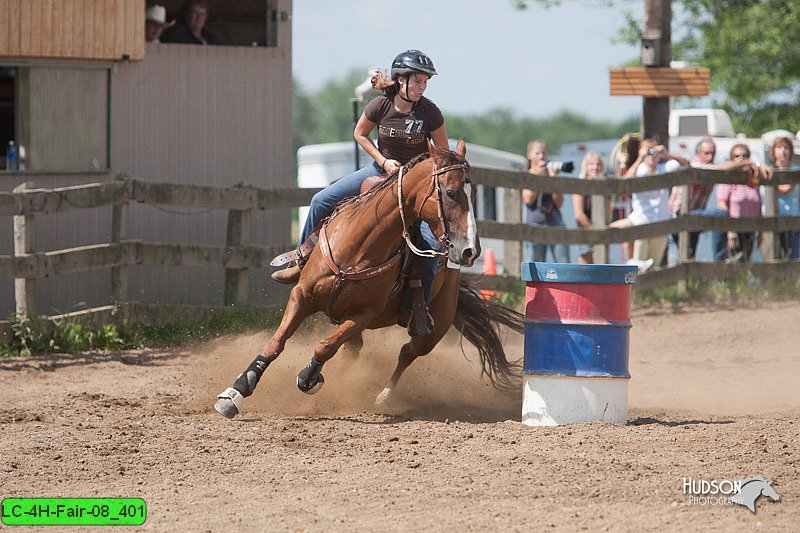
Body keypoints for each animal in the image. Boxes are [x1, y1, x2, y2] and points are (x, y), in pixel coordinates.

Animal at [216, 139, 520, 418]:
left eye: (476, 192)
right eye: (451, 192)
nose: (470, 250)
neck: (357, 246)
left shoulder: (363, 315)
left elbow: (325, 346)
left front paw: (308, 377)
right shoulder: (301, 295)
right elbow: (276, 342)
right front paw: (236, 391)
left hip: (434, 329)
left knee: (407, 352)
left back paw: (382, 395)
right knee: (357, 351)